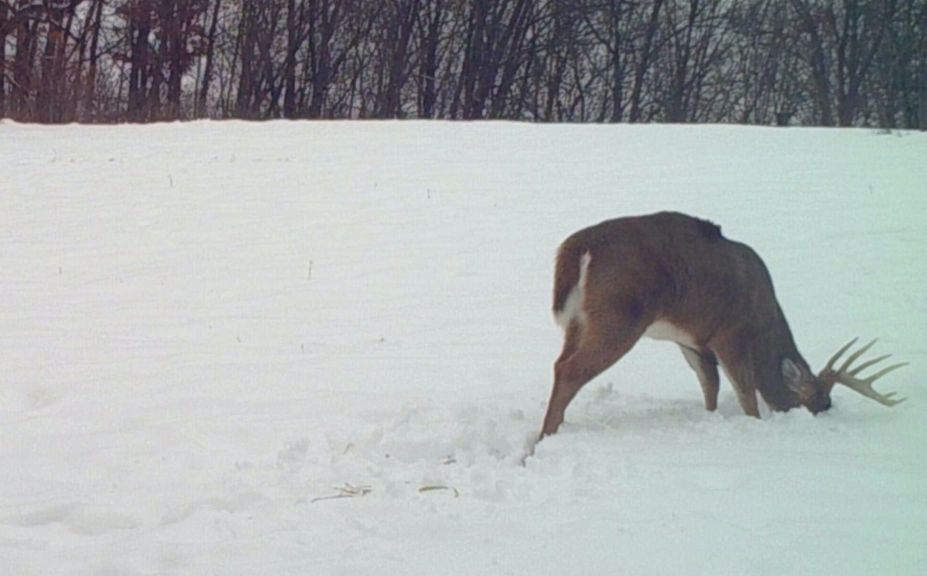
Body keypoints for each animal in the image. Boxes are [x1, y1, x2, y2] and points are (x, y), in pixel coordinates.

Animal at [540, 212, 908, 436]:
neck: (765, 317)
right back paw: (546, 436)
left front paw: (711, 417)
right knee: (569, 370)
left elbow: (711, 386)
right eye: (819, 402)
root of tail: (578, 249)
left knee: (559, 363)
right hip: (618, 316)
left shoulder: (692, 340)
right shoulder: (731, 334)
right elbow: (746, 392)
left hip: (579, 321)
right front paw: (755, 424)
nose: (820, 417)